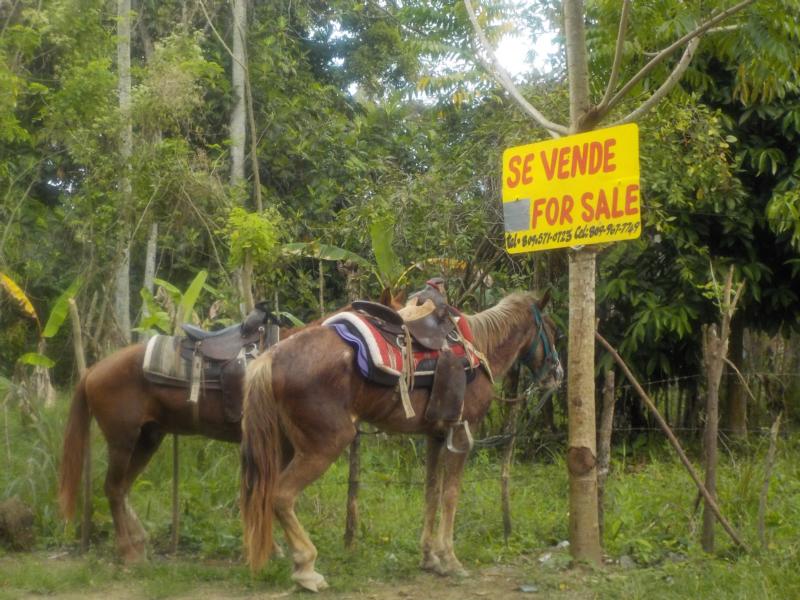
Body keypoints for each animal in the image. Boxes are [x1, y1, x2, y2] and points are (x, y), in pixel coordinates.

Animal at [58, 294, 403, 563]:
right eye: (388, 327)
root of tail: (92, 372)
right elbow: (264, 492)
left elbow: (265, 492)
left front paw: (270, 548)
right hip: (123, 440)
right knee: (113, 489)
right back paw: (129, 552)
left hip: (148, 438)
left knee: (121, 489)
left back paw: (138, 542)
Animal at [239, 291, 563, 591]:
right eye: (552, 329)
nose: (557, 373)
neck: (480, 351)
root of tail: (270, 358)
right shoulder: (463, 433)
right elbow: (451, 495)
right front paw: (450, 560)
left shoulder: (436, 435)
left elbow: (432, 492)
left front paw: (430, 558)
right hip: (324, 446)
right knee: (282, 496)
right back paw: (306, 569)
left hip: (283, 445)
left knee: (263, 494)